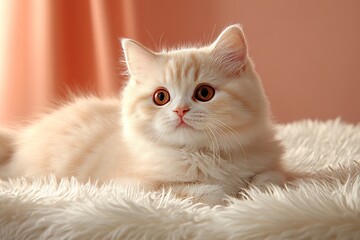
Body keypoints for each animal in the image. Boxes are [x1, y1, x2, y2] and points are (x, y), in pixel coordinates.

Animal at [0, 23, 290, 204]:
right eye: (161, 97)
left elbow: (270, 180)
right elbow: (202, 192)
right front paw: (231, 196)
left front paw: (252, 195)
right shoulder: (129, 186)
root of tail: (20, 139)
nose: (180, 110)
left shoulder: (270, 165)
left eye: (204, 93)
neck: (202, 155)